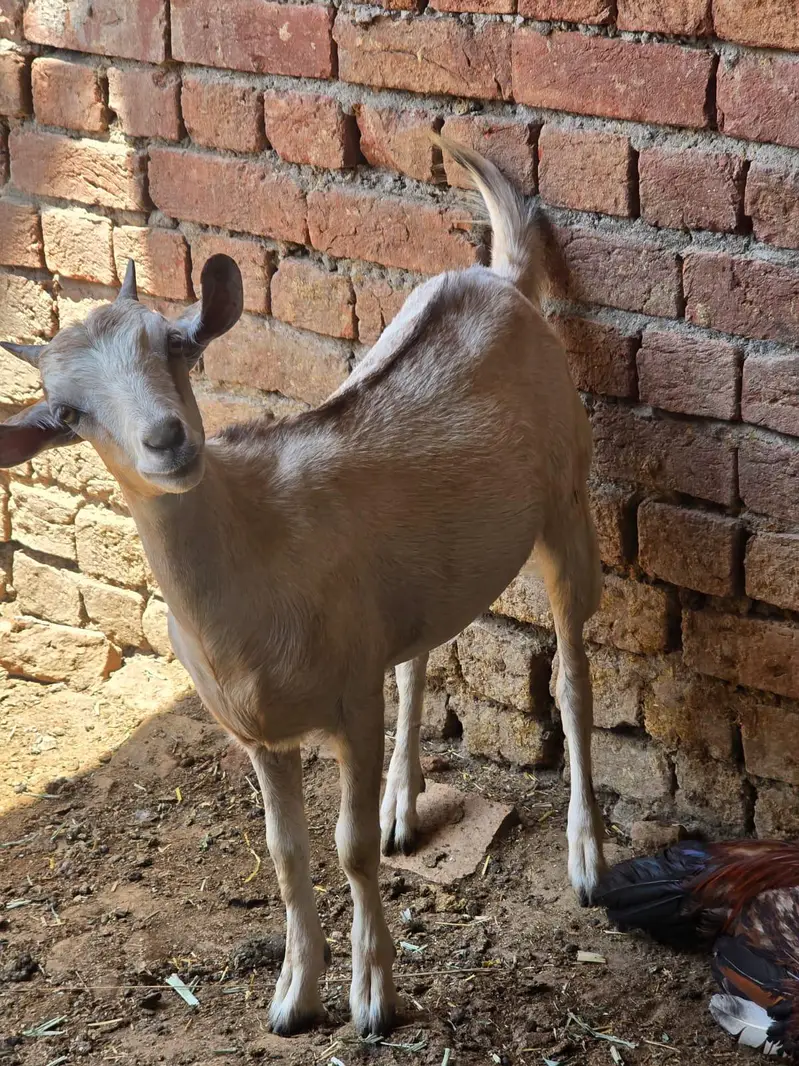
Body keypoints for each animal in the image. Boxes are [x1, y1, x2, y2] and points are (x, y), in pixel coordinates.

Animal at [0, 141, 606, 1037]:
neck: (255, 558)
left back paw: (587, 858)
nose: (167, 440)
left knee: (570, 674)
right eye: (67, 413)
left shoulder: (349, 701)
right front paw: (293, 997)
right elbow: (285, 854)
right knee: (420, 650)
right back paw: (403, 807)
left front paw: (373, 998)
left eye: (177, 346)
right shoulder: (255, 732)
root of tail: (499, 280)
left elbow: (344, 847)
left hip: (566, 499)